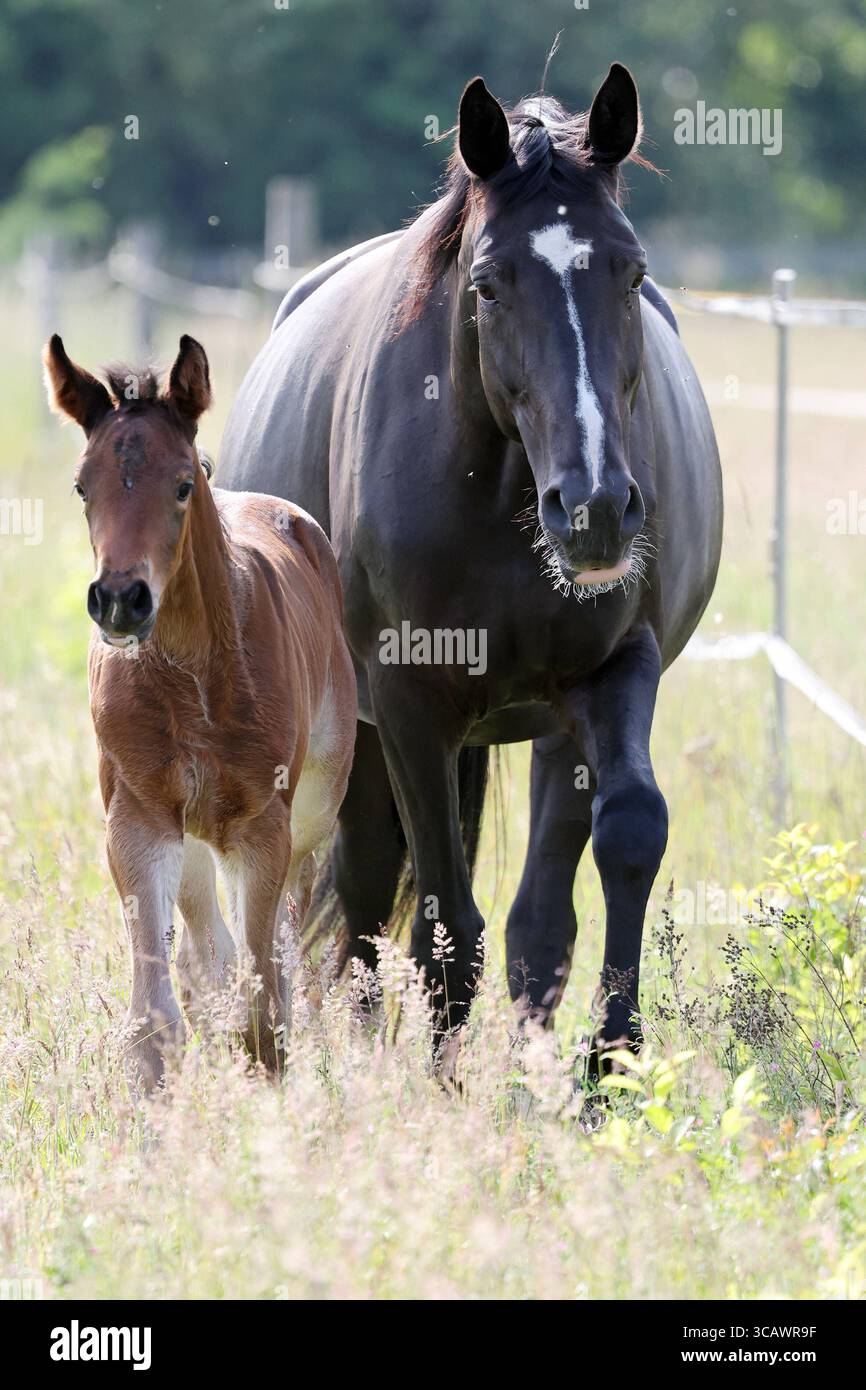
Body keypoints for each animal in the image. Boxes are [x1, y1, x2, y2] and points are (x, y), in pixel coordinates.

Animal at [43, 333, 357, 1090]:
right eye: (82, 487)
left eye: (183, 484)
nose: (120, 600)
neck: (192, 682)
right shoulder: (139, 818)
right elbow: (154, 1018)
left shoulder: (263, 825)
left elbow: (263, 1005)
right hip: (190, 837)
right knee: (206, 955)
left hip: (309, 817)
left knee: (280, 954)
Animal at [218, 63, 723, 1061]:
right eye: (489, 284)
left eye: (633, 271)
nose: (596, 508)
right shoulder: (409, 700)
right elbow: (445, 924)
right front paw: (435, 1087)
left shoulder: (616, 669)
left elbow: (630, 835)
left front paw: (611, 1060)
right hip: (365, 732)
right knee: (371, 891)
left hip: (554, 727)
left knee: (537, 918)